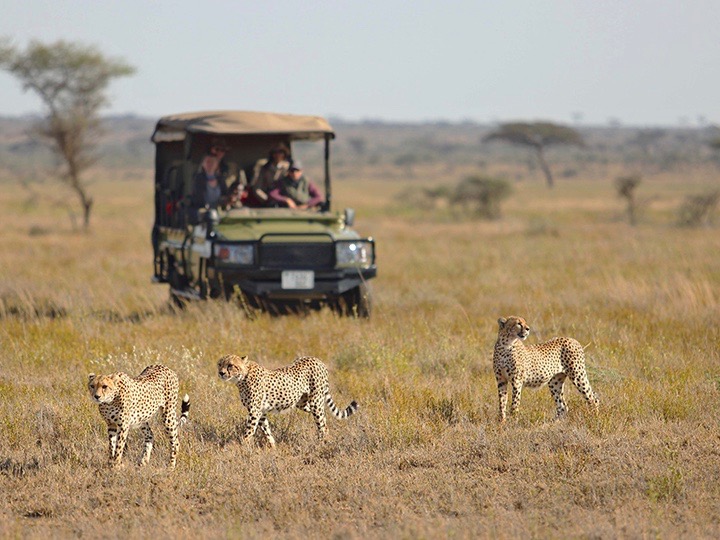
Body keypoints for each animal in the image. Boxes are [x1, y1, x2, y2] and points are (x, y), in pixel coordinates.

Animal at [217, 354, 358, 448]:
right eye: (219, 364)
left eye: (230, 365)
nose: (221, 373)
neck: (242, 377)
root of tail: (316, 359)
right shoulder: (261, 412)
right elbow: (266, 430)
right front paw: (273, 447)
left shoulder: (254, 411)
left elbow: (249, 431)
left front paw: (243, 447)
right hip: (303, 403)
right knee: (324, 419)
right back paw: (325, 438)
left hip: (315, 401)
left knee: (321, 423)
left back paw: (321, 443)